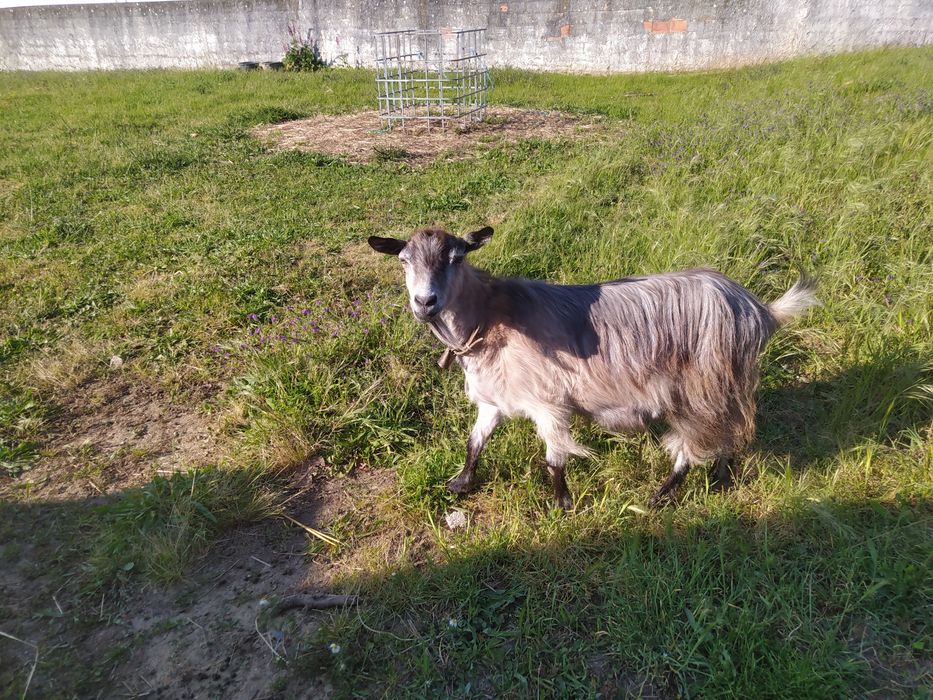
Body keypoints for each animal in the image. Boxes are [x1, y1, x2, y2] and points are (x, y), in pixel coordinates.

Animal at [368, 226, 817, 509]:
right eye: (404, 260)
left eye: (457, 257)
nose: (425, 302)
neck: (491, 319)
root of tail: (758, 309)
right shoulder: (494, 401)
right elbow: (474, 442)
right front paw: (461, 484)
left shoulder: (549, 403)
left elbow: (554, 459)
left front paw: (562, 504)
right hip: (721, 385)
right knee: (725, 432)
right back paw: (720, 478)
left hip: (699, 386)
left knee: (692, 444)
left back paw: (662, 495)